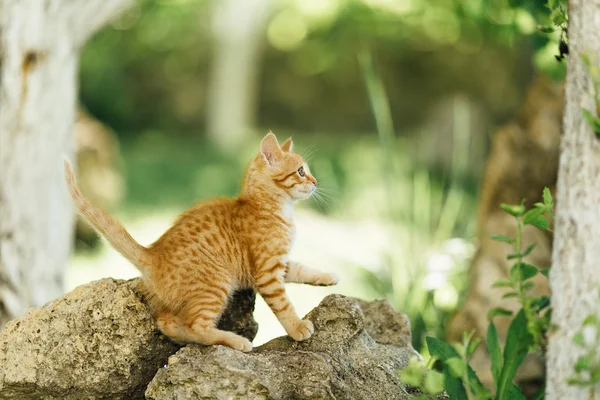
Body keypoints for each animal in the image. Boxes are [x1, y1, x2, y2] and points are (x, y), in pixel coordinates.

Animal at [65, 131, 340, 350]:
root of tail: (152, 254)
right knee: (197, 326)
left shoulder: (279, 263)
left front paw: (327, 276)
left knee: (167, 322)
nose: (315, 182)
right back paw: (236, 341)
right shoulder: (266, 272)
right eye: (301, 171)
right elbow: (283, 304)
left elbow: (302, 268)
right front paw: (296, 327)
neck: (270, 207)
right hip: (217, 283)